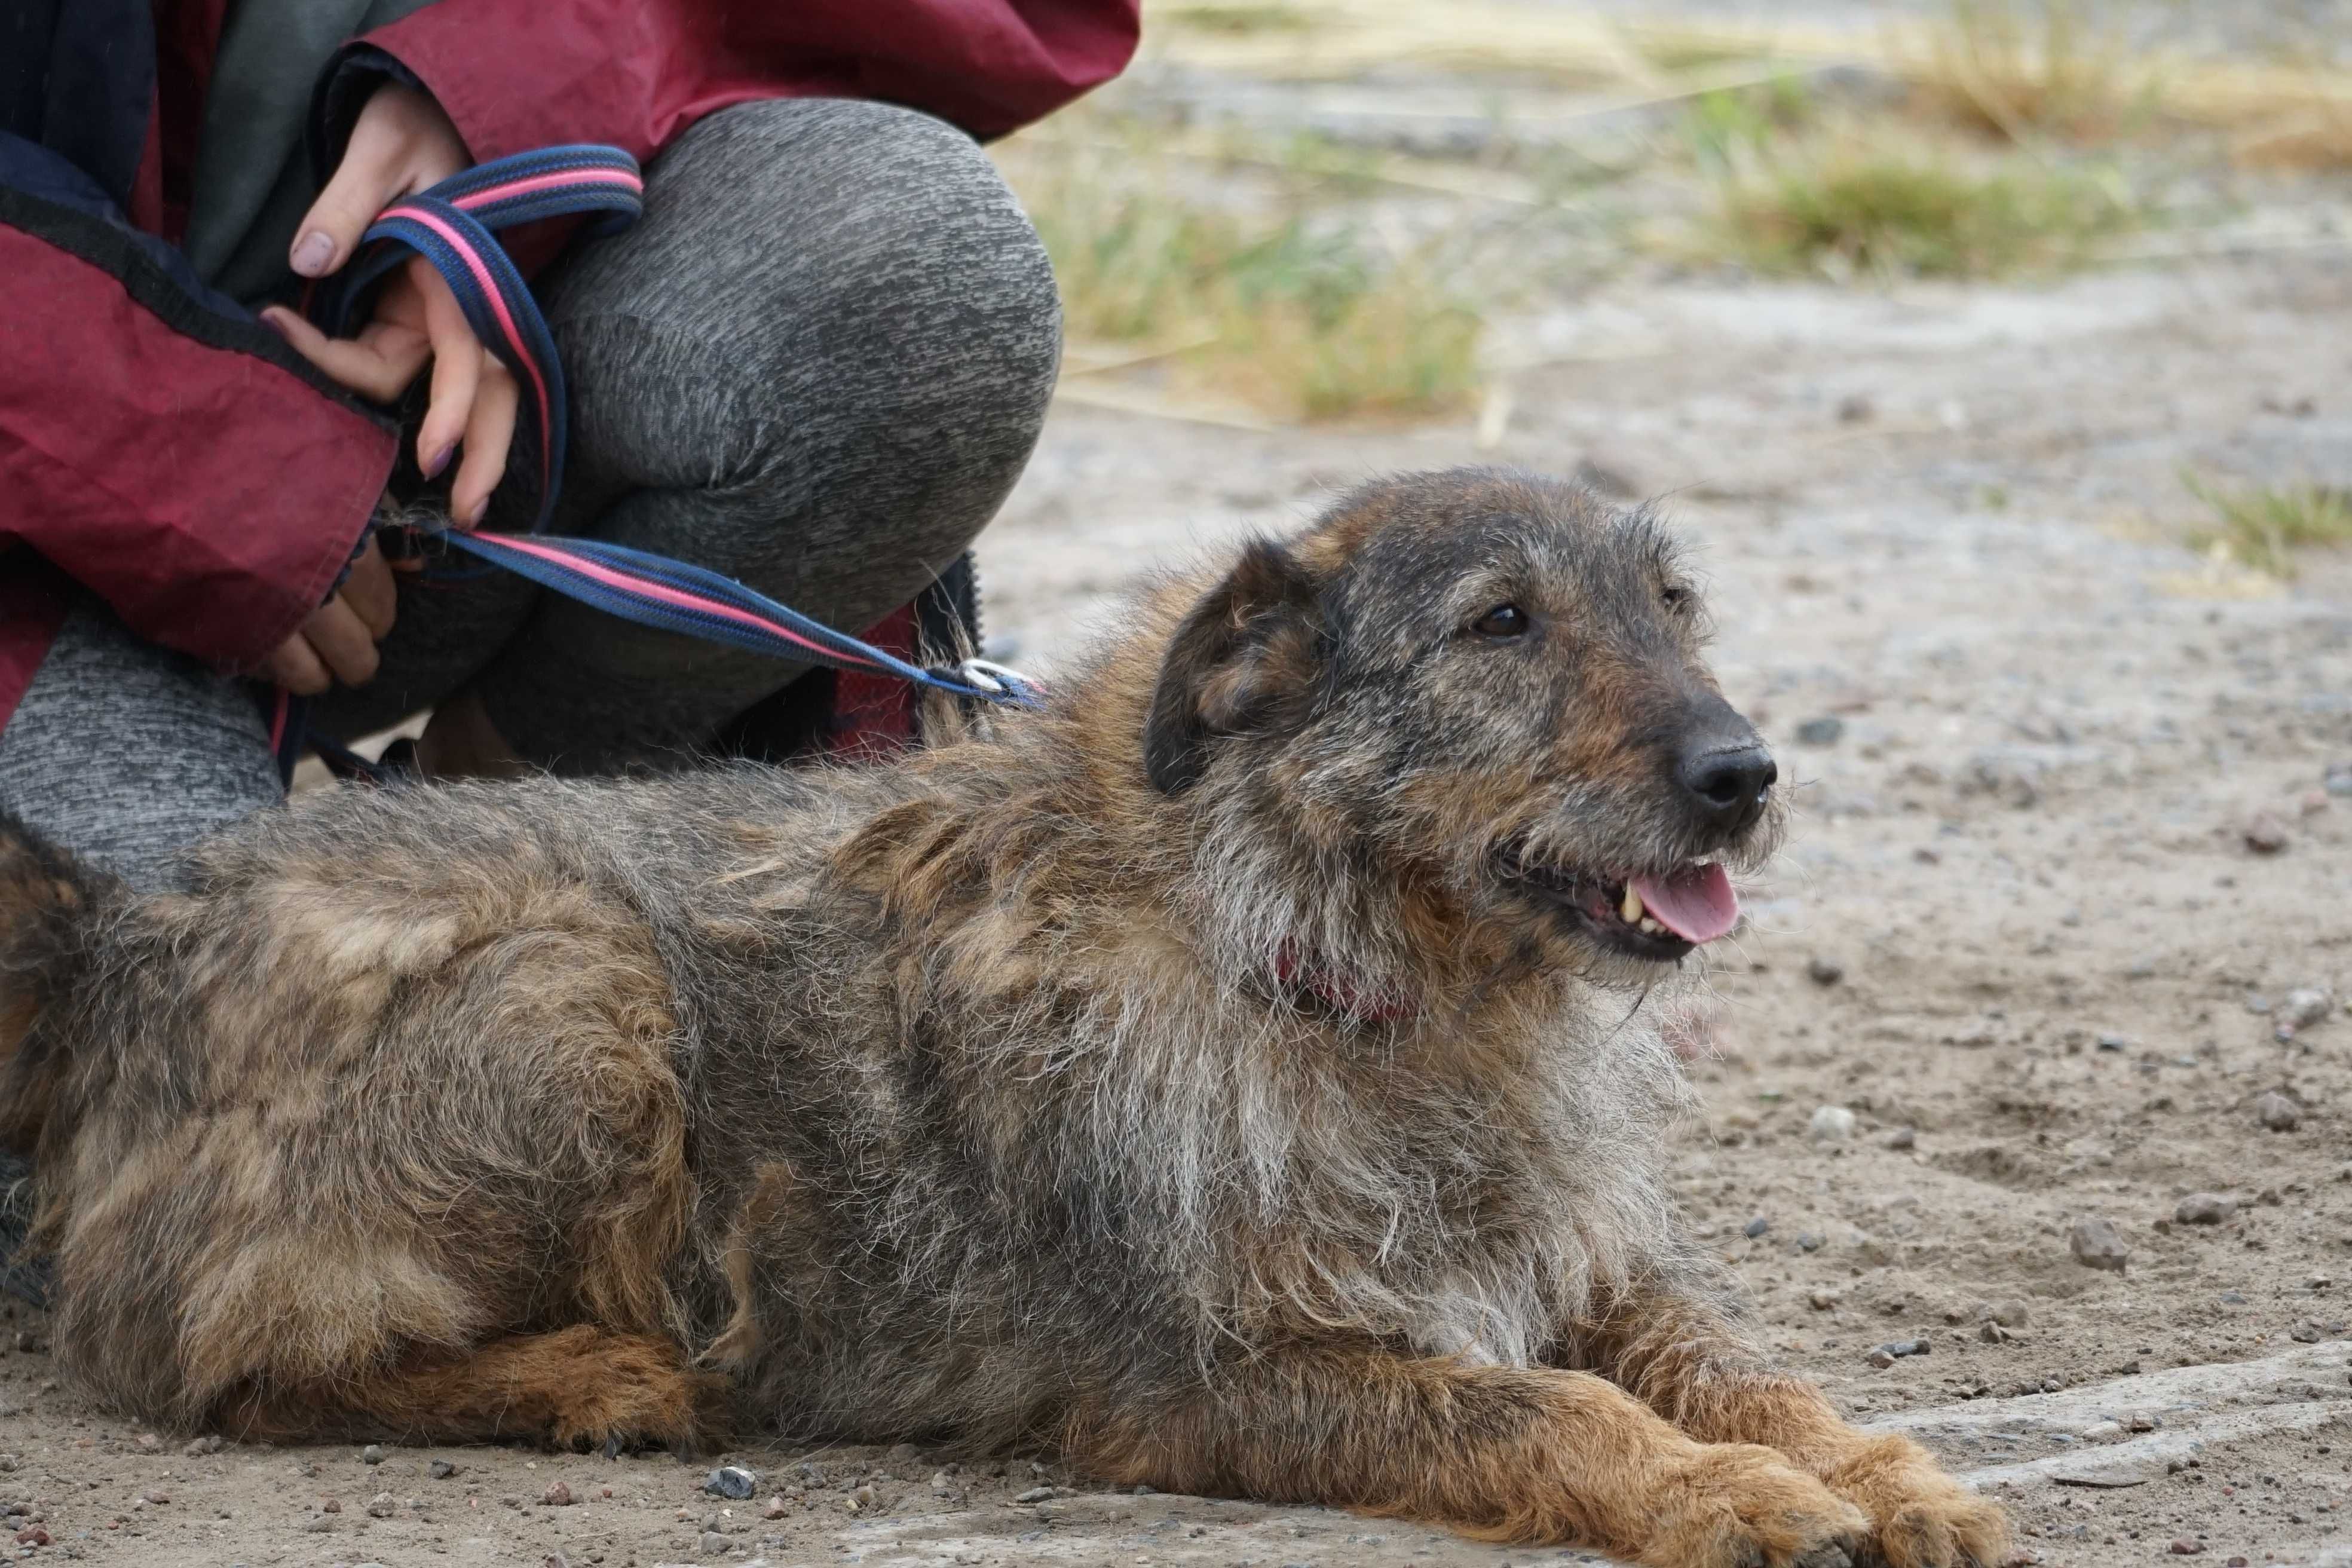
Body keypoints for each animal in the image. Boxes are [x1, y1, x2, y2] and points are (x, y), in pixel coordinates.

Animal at [0, 470, 2004, 1568]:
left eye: (1673, 605)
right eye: (1499, 623)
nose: (1742, 774)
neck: (1344, 969)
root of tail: (121, 931)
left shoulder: (1572, 1257)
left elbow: (1741, 1362)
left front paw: (1879, 1470)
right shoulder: (1204, 1375)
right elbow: (1549, 1413)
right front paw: (1724, 1497)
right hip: (579, 982)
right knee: (238, 1357)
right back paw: (588, 1375)